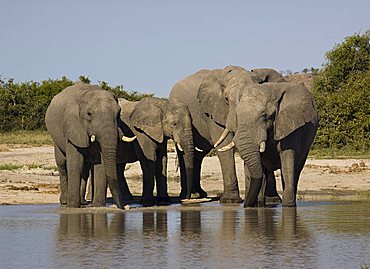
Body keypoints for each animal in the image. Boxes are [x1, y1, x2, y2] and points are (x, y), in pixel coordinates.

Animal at [169, 65, 284, 203]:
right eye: (226, 99)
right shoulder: (214, 111)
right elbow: (225, 145)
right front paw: (231, 201)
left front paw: (273, 201)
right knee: (184, 154)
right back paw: (190, 195)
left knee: (198, 155)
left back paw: (199, 194)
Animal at [197, 69, 318, 207]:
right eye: (237, 115)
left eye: (265, 115)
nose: (245, 204)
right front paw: (258, 207)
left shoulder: (290, 125)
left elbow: (287, 158)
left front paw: (288, 206)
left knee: (295, 169)